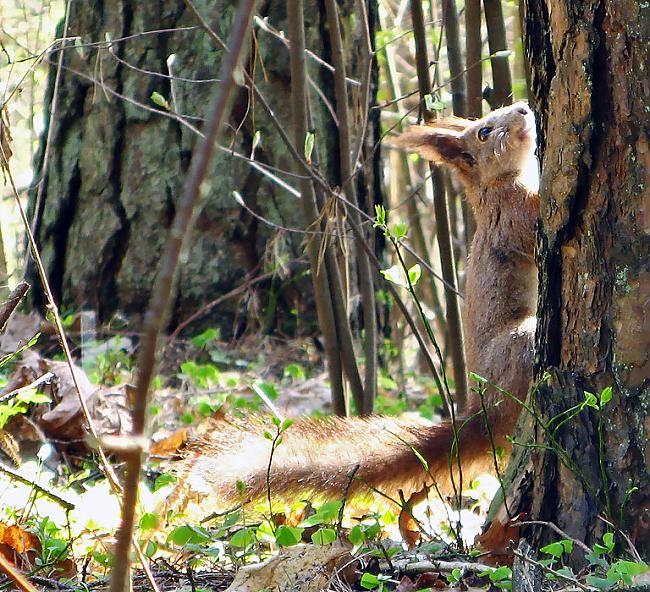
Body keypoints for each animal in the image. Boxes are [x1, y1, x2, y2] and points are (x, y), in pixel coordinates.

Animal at [176, 103, 536, 508]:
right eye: (484, 132)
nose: (524, 108)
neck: (497, 185)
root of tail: (483, 412)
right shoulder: (515, 213)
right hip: (518, 344)